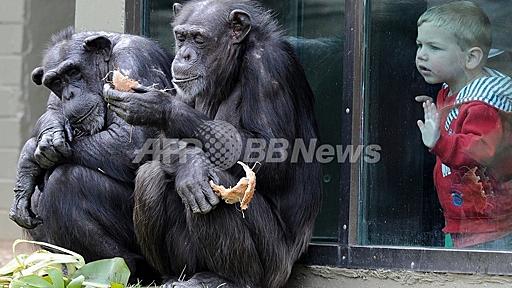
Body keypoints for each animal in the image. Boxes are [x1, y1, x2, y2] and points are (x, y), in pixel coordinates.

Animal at [9, 28, 174, 278]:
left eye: (73, 71)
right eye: (56, 81)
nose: (69, 94)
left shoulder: (134, 61)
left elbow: (130, 141)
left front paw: (27, 156)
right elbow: (52, 111)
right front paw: (31, 163)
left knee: (66, 182)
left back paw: (117, 270)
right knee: (38, 194)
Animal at [102, 1, 322, 286]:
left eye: (198, 39)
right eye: (181, 37)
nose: (184, 55)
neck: (233, 66)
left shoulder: (270, 67)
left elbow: (274, 151)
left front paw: (161, 109)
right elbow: (161, 144)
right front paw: (187, 161)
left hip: (274, 267)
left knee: (218, 180)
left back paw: (225, 278)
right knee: (152, 175)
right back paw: (174, 276)